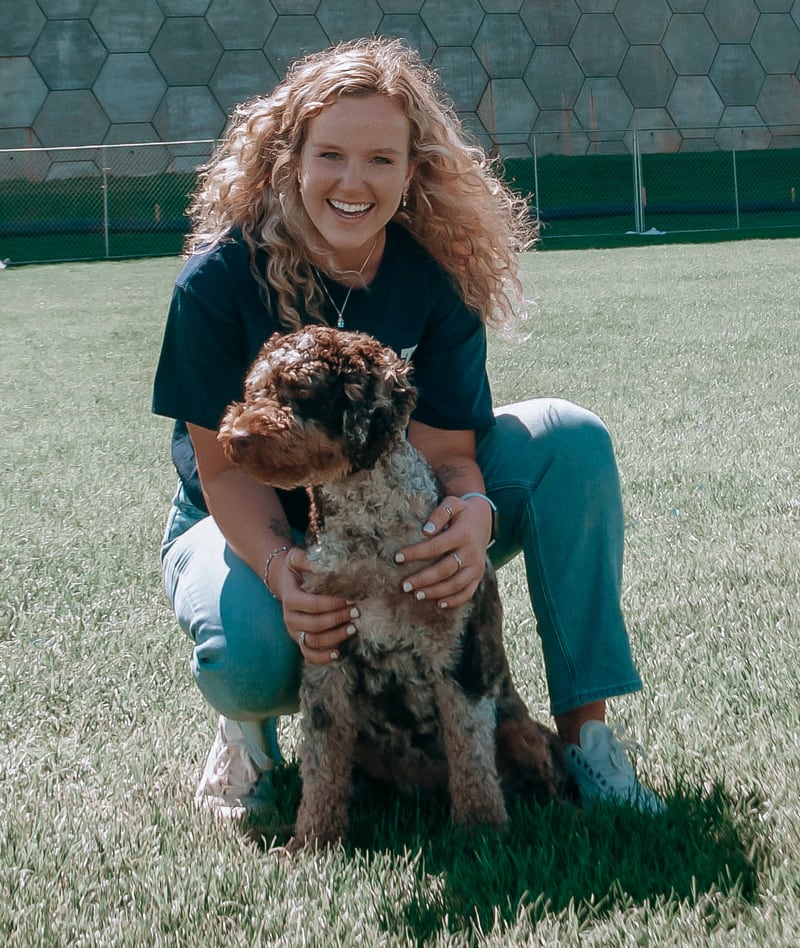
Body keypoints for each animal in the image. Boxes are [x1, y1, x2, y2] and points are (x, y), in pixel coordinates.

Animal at [216, 326, 572, 852]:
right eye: (254, 389)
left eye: (300, 390)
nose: (237, 436)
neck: (370, 537)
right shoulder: (324, 660)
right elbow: (321, 765)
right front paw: (312, 841)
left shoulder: (456, 651)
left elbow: (471, 751)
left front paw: (481, 832)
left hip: (521, 731)